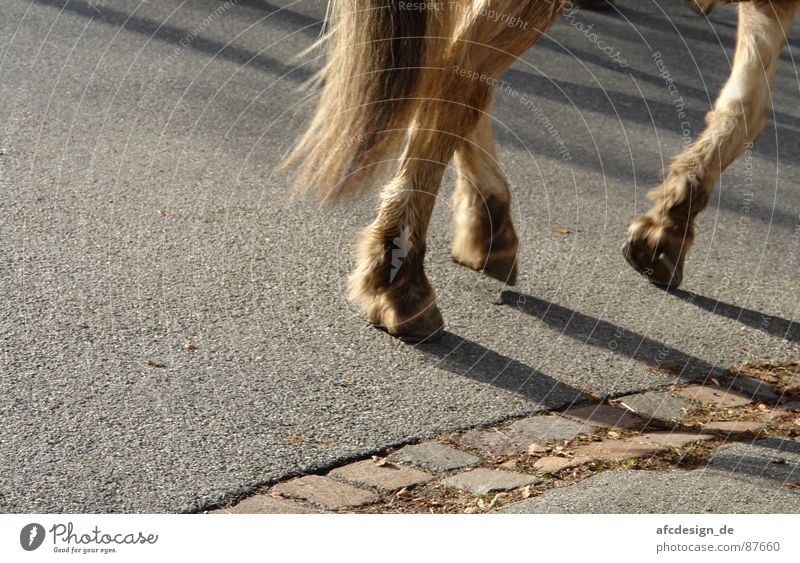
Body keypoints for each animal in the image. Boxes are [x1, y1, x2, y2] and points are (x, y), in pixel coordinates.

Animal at [282, 0, 800, 342]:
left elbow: (749, 105)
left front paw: (667, 227)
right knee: (461, 70)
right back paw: (400, 282)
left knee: (461, 69)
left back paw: (487, 228)